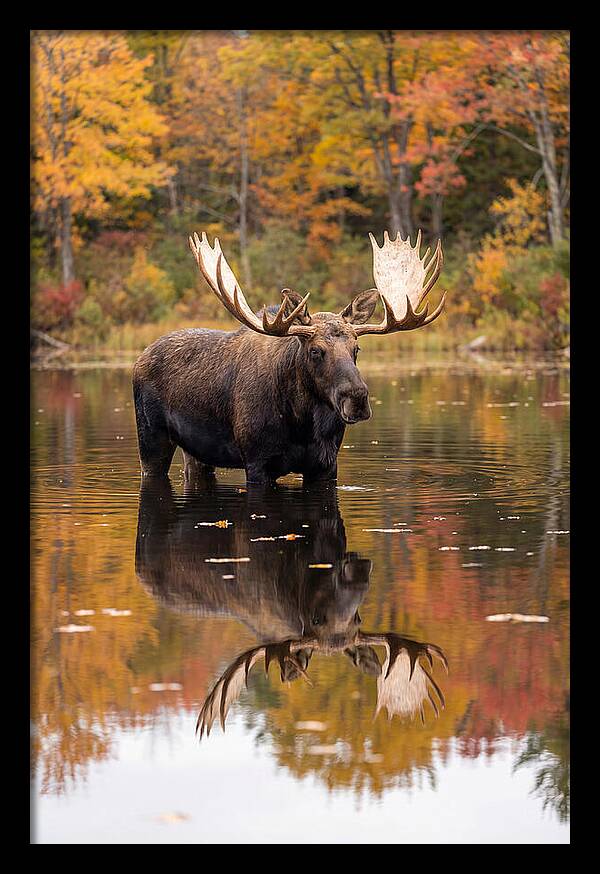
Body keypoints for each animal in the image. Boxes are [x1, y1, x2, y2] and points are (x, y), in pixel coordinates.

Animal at [132, 230, 445, 485]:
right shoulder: (257, 462)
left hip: (196, 452)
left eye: (356, 349)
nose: (356, 398)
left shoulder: (326, 465)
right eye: (315, 350)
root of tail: (140, 357)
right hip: (151, 439)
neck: (302, 424)